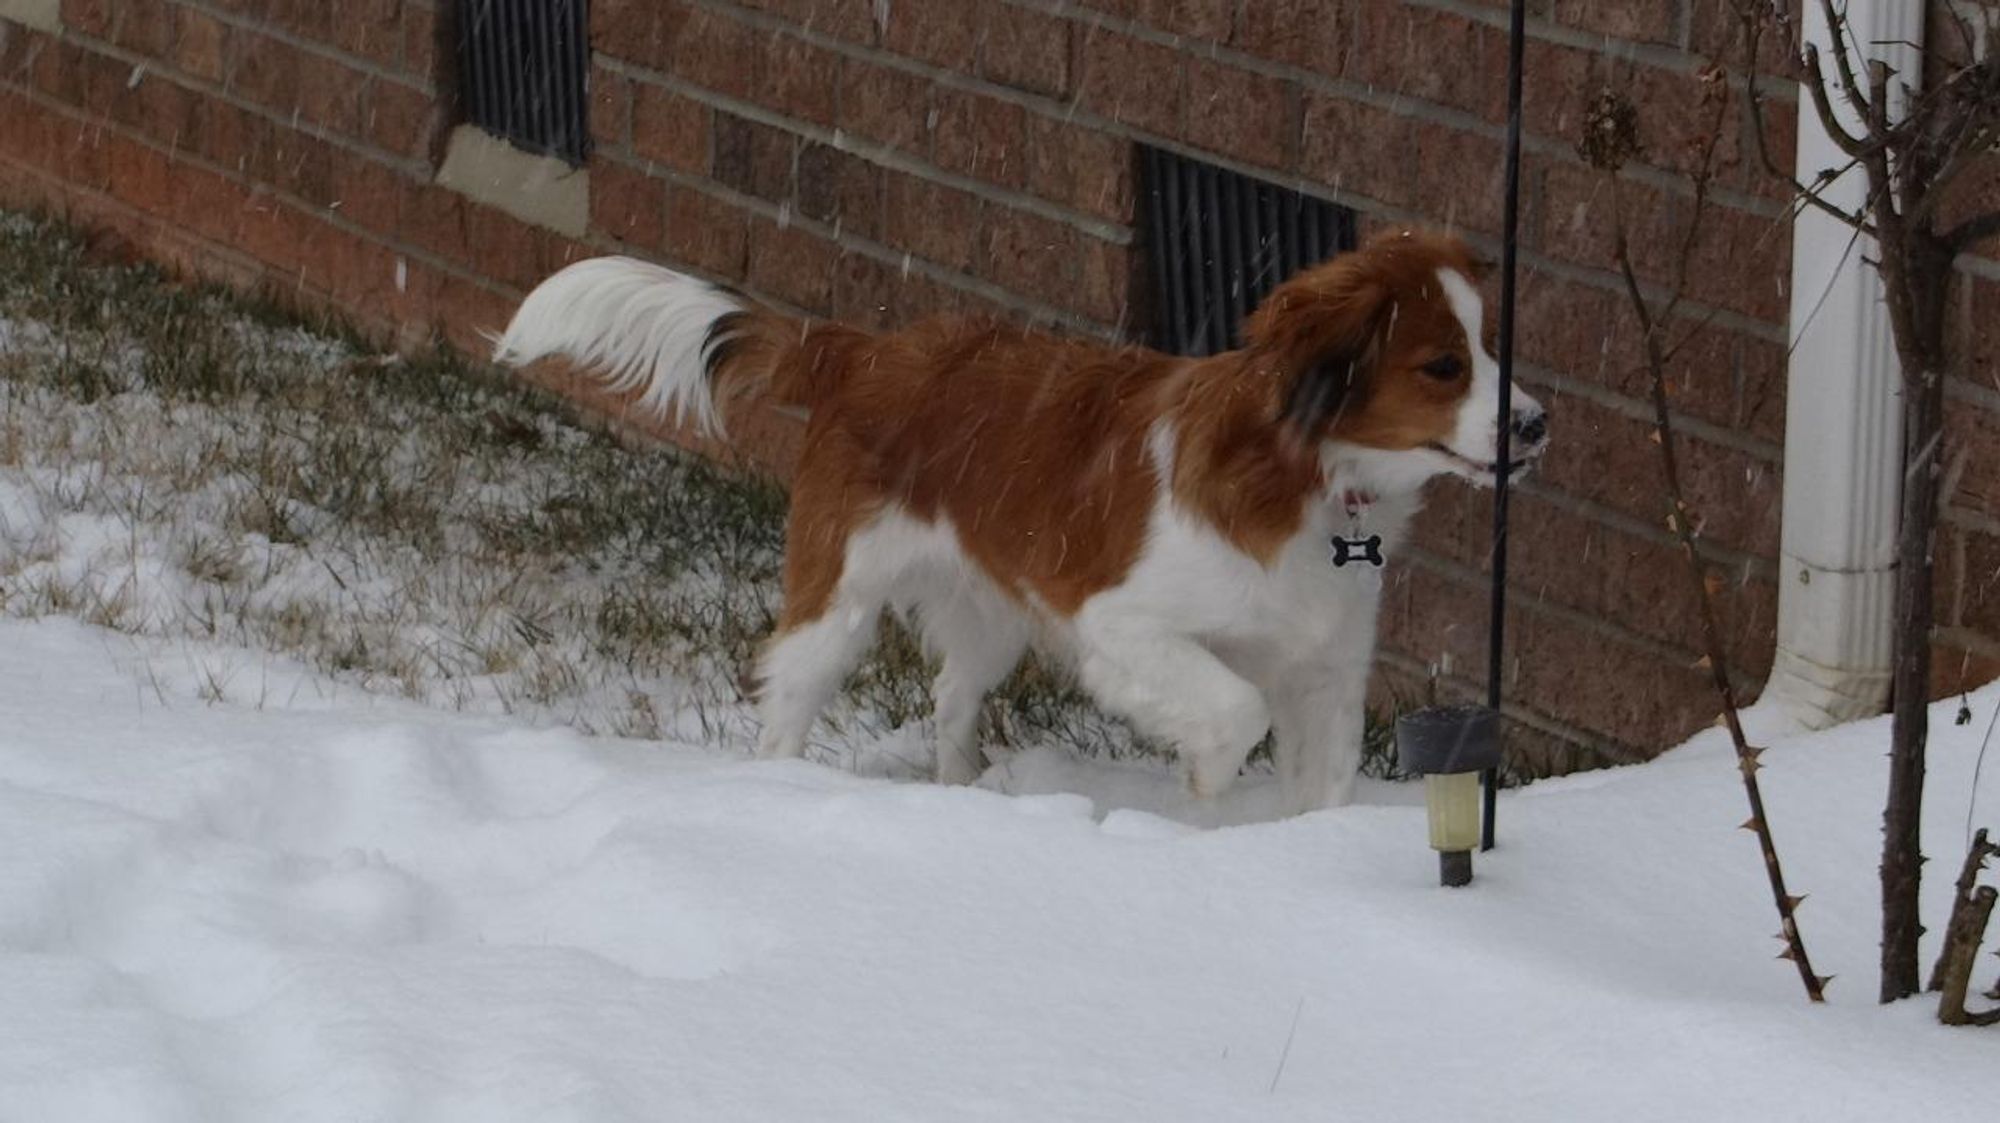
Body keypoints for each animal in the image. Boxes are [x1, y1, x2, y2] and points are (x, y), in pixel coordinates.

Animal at [496, 229, 1544, 811]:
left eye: (1495, 346)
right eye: (1444, 366)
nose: (1536, 423)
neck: (1313, 476)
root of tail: (866, 349)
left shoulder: (1325, 669)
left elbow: (1321, 791)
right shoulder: (1122, 624)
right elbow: (1232, 711)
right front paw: (1204, 804)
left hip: (989, 614)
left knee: (950, 701)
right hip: (839, 600)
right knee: (789, 699)